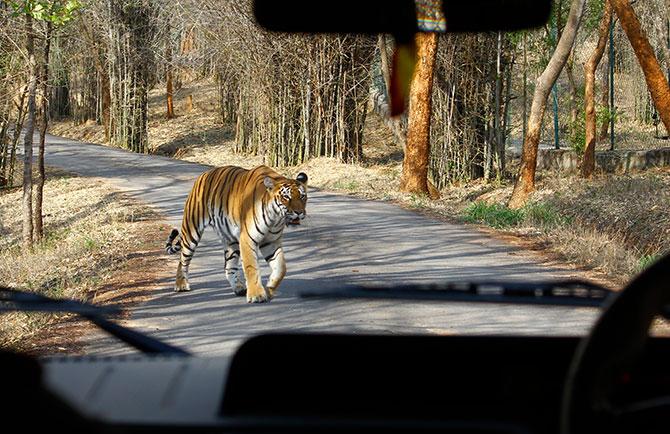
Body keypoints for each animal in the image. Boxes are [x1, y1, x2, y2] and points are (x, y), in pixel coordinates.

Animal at [165, 164, 310, 304]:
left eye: (302, 196)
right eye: (286, 197)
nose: (299, 212)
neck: (275, 218)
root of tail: (203, 175)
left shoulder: (271, 242)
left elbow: (281, 268)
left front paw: (269, 290)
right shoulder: (248, 239)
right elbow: (251, 267)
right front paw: (257, 295)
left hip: (230, 240)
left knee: (228, 266)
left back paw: (239, 288)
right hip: (192, 230)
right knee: (183, 259)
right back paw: (181, 284)